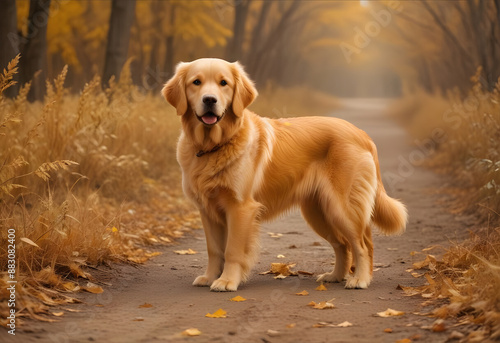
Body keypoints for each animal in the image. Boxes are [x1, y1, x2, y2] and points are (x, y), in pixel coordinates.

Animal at [162, 57, 408, 292]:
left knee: (363, 245)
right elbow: (214, 249)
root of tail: (361, 133)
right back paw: (335, 276)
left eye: (224, 83)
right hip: (318, 212)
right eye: (196, 82)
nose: (209, 100)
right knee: (343, 244)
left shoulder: (241, 208)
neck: (215, 145)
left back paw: (360, 279)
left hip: (342, 207)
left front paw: (227, 281)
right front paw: (210, 277)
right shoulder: (207, 210)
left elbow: (232, 250)